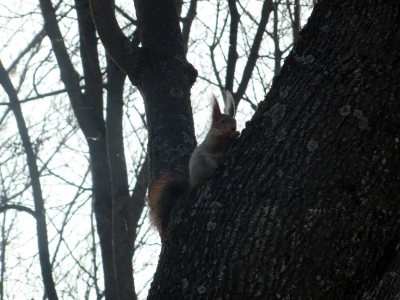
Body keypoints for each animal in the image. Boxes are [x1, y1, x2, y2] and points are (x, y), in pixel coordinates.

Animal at [148, 90, 239, 236]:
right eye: (222, 121)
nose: (233, 128)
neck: (216, 132)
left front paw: (236, 134)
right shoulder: (210, 143)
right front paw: (231, 136)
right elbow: (217, 145)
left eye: (234, 120)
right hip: (205, 164)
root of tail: (191, 184)